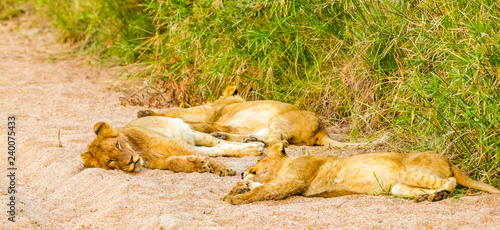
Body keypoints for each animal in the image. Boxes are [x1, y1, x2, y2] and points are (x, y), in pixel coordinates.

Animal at [80, 116, 264, 177]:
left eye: (117, 145)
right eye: (110, 161)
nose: (130, 161)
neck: (140, 152)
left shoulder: (170, 143)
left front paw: (223, 169)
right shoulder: (159, 162)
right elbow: (175, 163)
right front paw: (199, 165)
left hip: (190, 133)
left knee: (221, 143)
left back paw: (254, 144)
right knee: (218, 149)